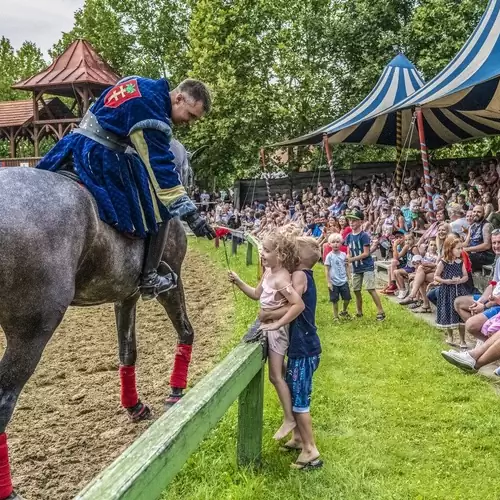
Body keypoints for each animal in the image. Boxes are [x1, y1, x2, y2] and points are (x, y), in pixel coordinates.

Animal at [0, 139, 197, 498]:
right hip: (33, 330)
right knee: (4, 401)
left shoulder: (125, 296)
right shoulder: (171, 283)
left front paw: (135, 405)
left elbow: (127, 351)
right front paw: (176, 391)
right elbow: (186, 331)